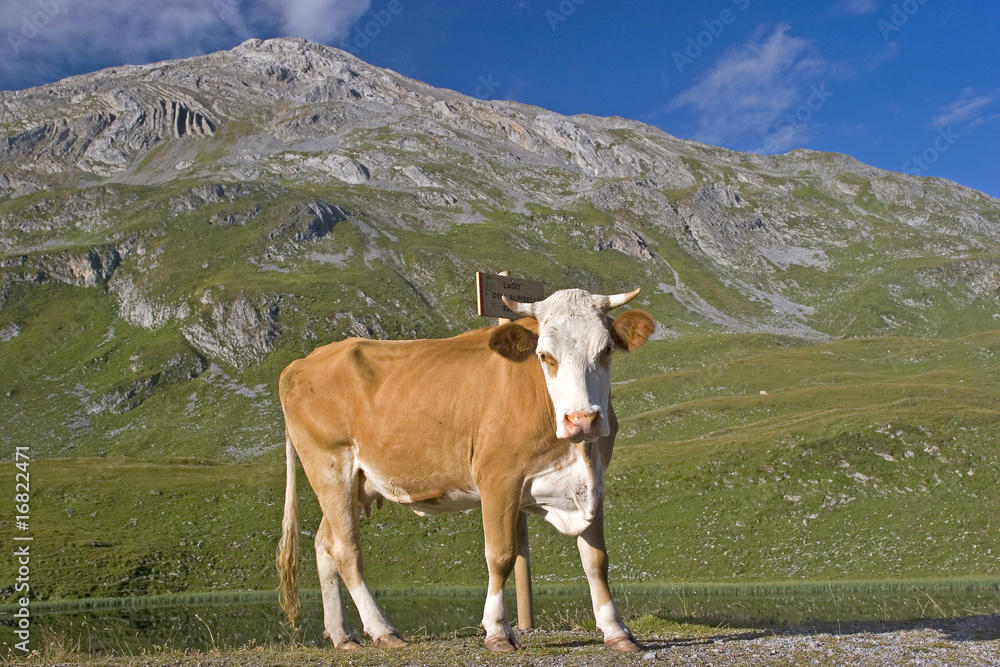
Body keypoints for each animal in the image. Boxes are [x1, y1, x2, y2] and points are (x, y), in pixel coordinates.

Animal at [278, 288, 656, 652]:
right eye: (545, 356)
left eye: (606, 350)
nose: (582, 419)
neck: (576, 452)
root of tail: (302, 362)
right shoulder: (498, 478)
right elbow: (501, 556)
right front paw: (497, 631)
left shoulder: (592, 484)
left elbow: (597, 560)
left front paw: (617, 631)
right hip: (329, 466)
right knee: (346, 551)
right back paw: (382, 630)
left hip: (357, 483)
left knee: (325, 543)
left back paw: (342, 635)